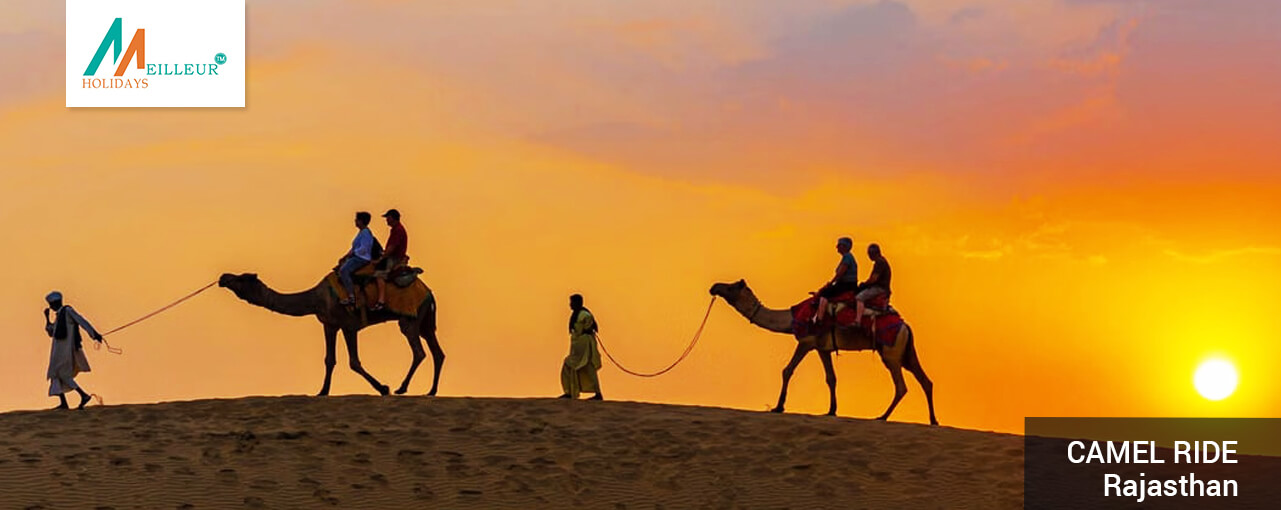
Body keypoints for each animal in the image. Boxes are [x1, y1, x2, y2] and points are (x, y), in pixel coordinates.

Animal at [218, 273, 443, 397]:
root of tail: (429, 293)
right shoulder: (329, 324)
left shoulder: (348, 325)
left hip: (409, 318)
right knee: (437, 352)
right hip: (425, 321)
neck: (316, 298)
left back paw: (401, 388)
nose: (223, 277)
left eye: (242, 278)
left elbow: (354, 362)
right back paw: (431, 391)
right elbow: (329, 359)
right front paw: (322, 391)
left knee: (419, 351)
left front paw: (383, 388)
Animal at [709, 280, 937, 425]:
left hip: (890, 353)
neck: (791, 319)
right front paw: (831, 410)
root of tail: (905, 326)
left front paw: (778, 407)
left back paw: (882, 416)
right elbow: (831, 378)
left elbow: (787, 370)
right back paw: (933, 420)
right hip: (905, 353)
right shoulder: (822, 348)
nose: (714, 287)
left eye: (730, 287)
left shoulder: (806, 342)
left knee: (901, 386)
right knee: (925, 381)